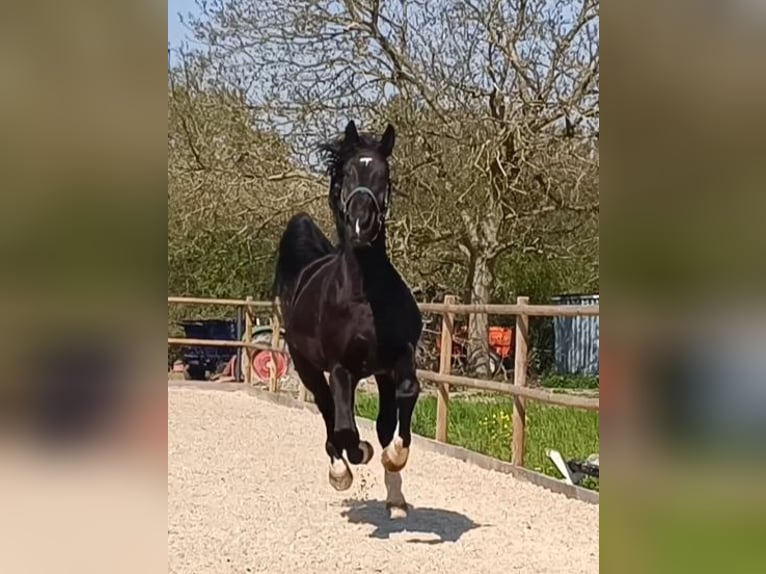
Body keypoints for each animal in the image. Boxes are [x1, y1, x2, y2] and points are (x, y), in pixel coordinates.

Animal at [273, 120, 423, 519]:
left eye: (384, 175)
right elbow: (345, 430)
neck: (364, 298)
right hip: (308, 367)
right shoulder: (341, 367)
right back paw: (340, 470)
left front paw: (394, 456)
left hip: (375, 373)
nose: (361, 225)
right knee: (329, 413)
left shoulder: (398, 357)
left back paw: (395, 497)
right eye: (348, 173)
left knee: (381, 421)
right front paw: (360, 455)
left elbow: (405, 398)